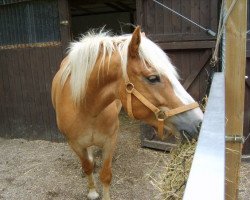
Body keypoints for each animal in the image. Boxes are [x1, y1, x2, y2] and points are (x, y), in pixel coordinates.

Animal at [50, 27, 203, 200]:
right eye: (153, 78)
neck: (87, 109)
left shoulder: (110, 140)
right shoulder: (75, 144)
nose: (199, 122)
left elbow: (105, 175)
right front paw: (92, 191)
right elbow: (87, 166)